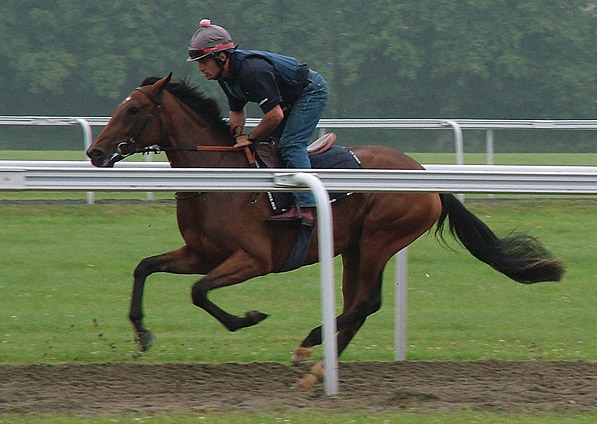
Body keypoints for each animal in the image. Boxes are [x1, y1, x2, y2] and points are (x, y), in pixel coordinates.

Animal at [85, 74, 564, 390]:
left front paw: (248, 317)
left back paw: (309, 346)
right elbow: (145, 268)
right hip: (353, 247)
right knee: (357, 305)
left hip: (379, 239)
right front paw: (142, 333)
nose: (94, 152)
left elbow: (199, 292)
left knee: (367, 302)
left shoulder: (254, 260)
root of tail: (425, 176)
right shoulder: (199, 254)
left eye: (134, 109)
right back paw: (317, 369)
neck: (221, 177)